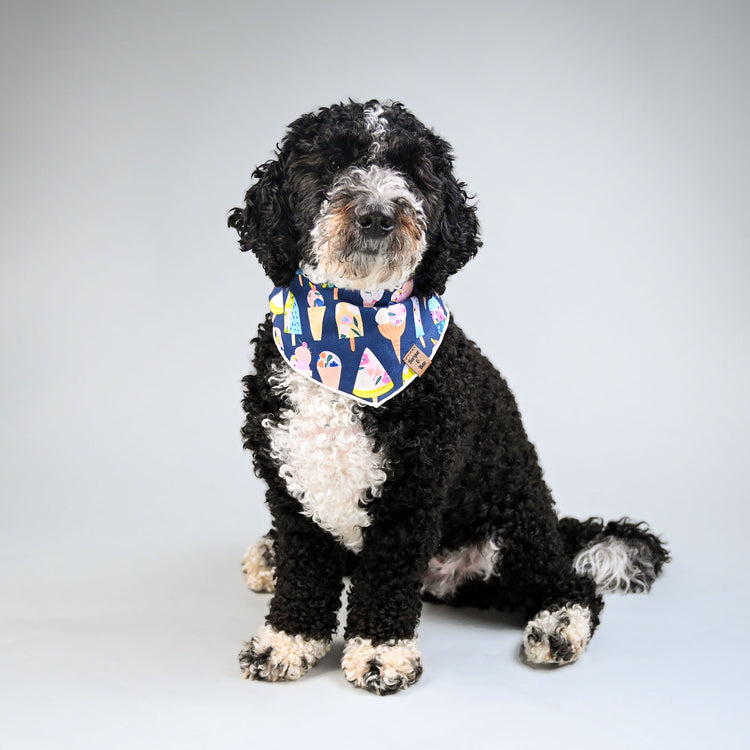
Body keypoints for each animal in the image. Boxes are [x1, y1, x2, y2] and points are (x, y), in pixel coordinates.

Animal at [229, 101, 668, 700]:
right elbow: (305, 569)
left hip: (512, 536)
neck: (349, 335)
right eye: (332, 164)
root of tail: (554, 526)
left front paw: (380, 653)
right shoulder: (291, 483)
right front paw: (287, 640)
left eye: (414, 175)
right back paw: (270, 555)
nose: (378, 215)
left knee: (571, 585)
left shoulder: (411, 494)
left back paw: (560, 626)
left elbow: (385, 578)